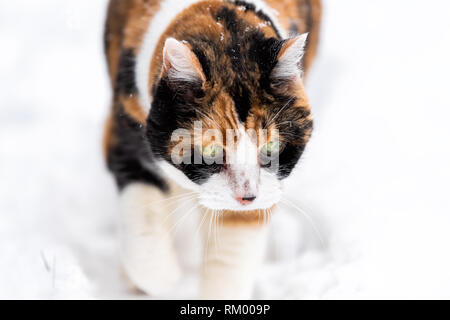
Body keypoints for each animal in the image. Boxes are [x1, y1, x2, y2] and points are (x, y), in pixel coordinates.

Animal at [103, 0, 320, 300]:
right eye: (211, 151)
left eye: (272, 147)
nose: (247, 197)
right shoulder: (126, 129)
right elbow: (142, 225)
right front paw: (166, 279)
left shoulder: (263, 190)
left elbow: (232, 256)